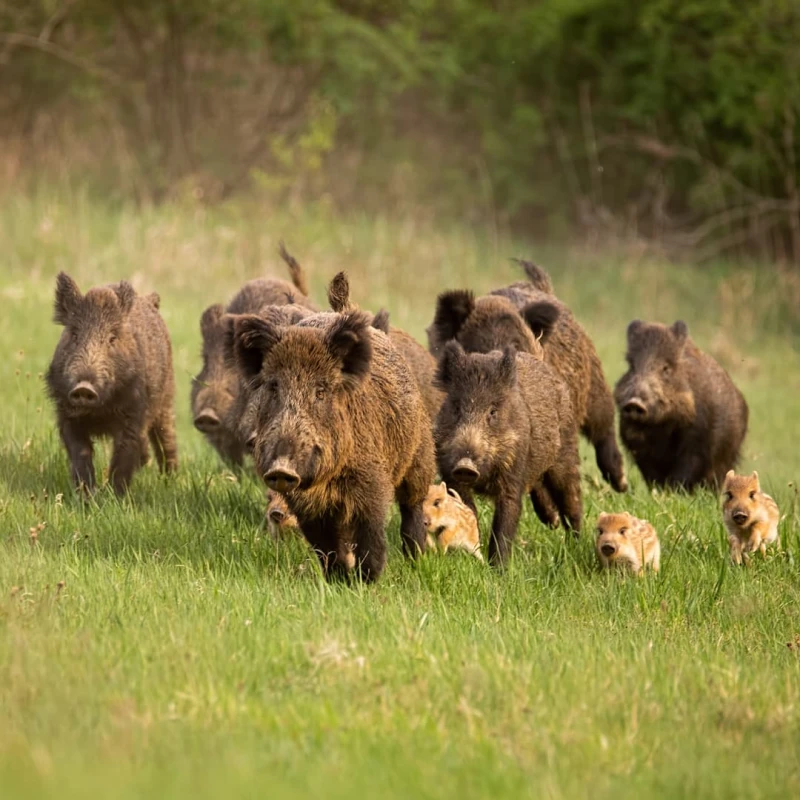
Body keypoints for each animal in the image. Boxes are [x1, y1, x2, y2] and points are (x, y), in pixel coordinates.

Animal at [45, 272, 178, 495]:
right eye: (74, 335)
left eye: (112, 338)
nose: (84, 387)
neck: (99, 413)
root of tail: (151, 299)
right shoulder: (66, 414)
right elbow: (80, 452)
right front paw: (86, 496)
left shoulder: (133, 414)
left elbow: (123, 455)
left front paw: (115, 497)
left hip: (166, 400)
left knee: (166, 438)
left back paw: (171, 480)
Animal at [230, 308, 436, 582]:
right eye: (274, 387)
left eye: (320, 391)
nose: (282, 469)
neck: (326, 481)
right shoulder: (306, 506)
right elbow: (325, 545)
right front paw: (338, 579)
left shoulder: (371, 482)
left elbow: (370, 532)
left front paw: (366, 580)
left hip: (419, 456)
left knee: (412, 506)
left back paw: (416, 558)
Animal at [434, 341, 582, 565]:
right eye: (457, 408)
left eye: (493, 412)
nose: (465, 466)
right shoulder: (450, 474)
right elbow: (468, 510)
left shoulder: (513, 474)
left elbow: (506, 520)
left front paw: (499, 568)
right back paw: (554, 522)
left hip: (566, 453)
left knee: (572, 500)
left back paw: (576, 543)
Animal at [614, 320, 749, 491]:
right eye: (631, 366)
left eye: (666, 368)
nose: (634, 403)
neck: (660, 426)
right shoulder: (637, 445)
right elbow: (652, 476)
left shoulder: (698, 441)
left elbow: (684, 472)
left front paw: (672, 492)